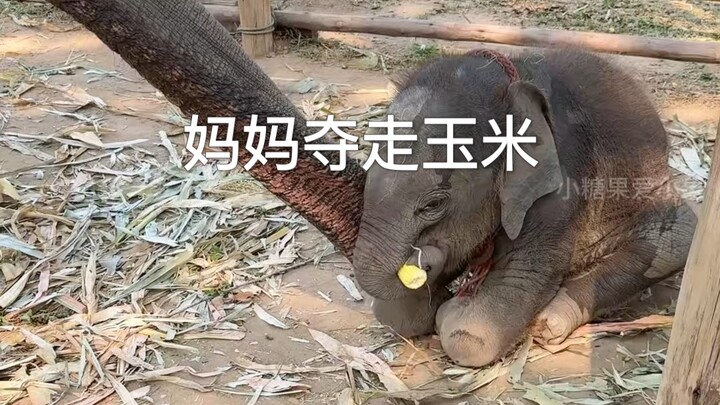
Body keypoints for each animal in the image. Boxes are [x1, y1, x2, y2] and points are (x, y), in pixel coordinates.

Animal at [351, 48, 698, 368]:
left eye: (434, 203)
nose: (421, 258)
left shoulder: (561, 182)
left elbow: (498, 303)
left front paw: (451, 310)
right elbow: (395, 318)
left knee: (677, 238)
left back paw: (550, 322)